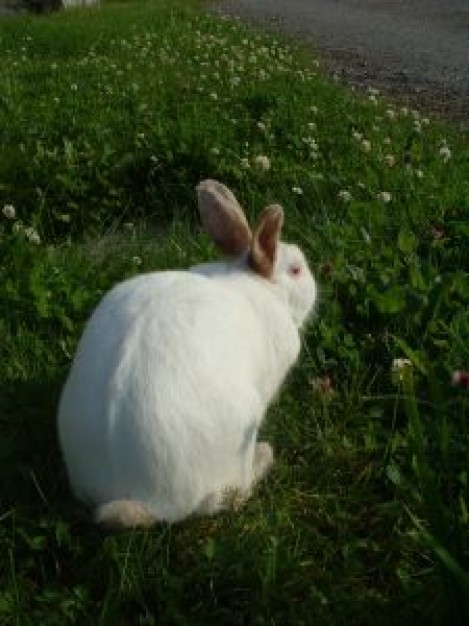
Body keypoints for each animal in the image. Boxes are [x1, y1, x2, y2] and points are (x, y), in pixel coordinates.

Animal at [56, 179, 316, 528]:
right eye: (297, 270)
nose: (315, 289)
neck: (255, 282)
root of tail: (139, 498)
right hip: (242, 433)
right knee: (231, 495)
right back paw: (264, 457)